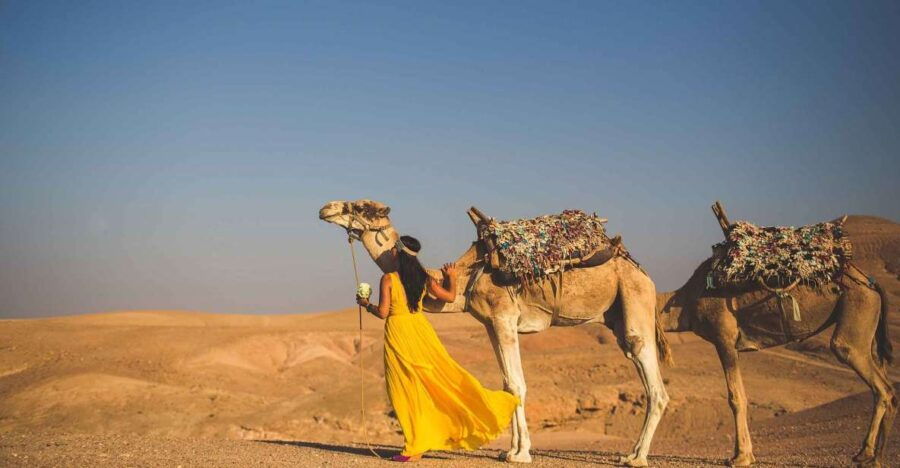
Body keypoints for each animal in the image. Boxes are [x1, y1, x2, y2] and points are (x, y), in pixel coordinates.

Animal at [319, 199, 672, 466]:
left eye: (362, 207)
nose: (326, 208)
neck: (467, 276)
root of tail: (643, 271)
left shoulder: (504, 317)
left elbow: (517, 384)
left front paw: (521, 454)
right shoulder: (491, 324)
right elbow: (507, 384)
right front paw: (510, 450)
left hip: (634, 299)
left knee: (653, 381)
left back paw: (636, 458)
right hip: (617, 313)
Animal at [657, 206, 895, 467]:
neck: (684, 301)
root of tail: (871, 283)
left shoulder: (724, 337)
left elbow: (736, 397)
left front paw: (741, 456)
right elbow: (740, 394)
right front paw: (747, 454)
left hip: (858, 306)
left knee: (875, 380)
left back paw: (868, 454)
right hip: (868, 324)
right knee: (887, 386)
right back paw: (874, 455)